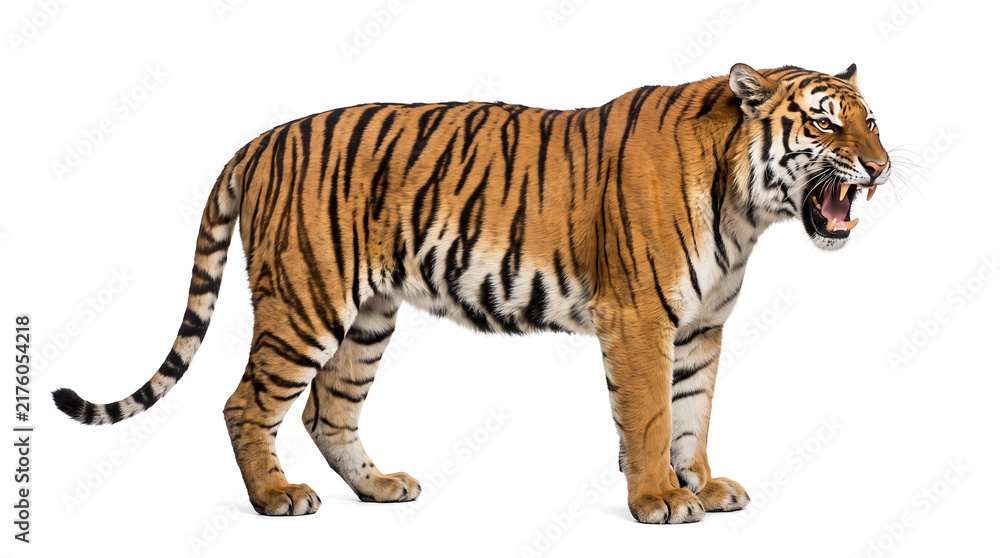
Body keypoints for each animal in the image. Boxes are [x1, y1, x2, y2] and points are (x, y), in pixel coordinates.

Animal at [53, 63, 889, 524]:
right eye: (825, 124)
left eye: (872, 121)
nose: (881, 169)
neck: (746, 208)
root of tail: (261, 140)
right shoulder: (640, 320)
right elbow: (651, 418)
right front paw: (658, 499)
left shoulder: (699, 329)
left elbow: (692, 416)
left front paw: (704, 486)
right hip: (305, 303)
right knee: (246, 404)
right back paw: (276, 498)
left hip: (367, 318)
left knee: (330, 410)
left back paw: (380, 487)